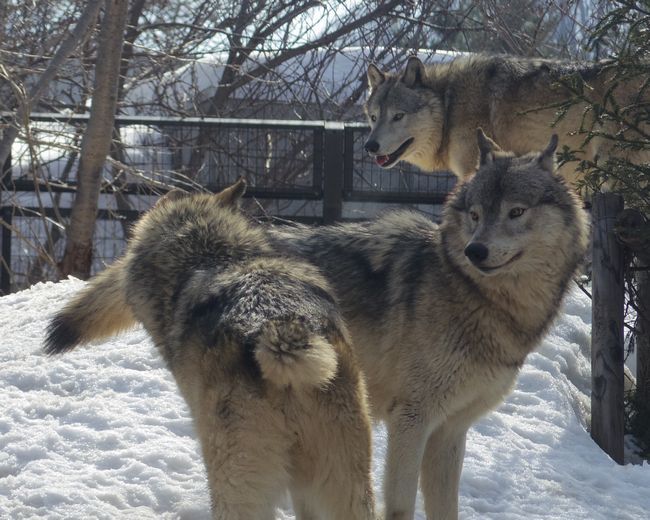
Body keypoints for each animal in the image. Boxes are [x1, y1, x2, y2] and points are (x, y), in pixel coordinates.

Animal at [268, 131, 588, 520]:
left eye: (516, 211)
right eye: (475, 214)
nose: (474, 251)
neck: (470, 293)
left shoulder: (451, 430)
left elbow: (446, 507)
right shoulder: (411, 419)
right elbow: (401, 506)